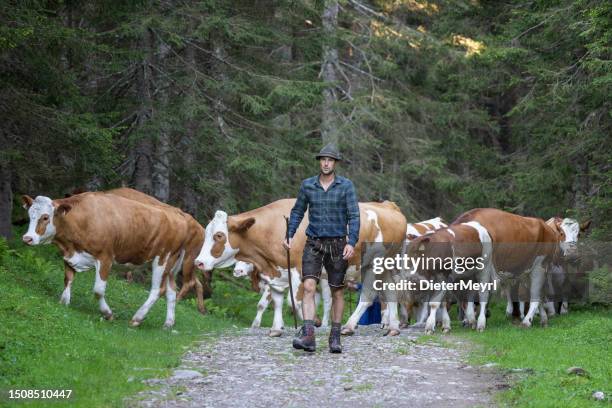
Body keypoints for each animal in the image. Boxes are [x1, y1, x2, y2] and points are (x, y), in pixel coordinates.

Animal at [21, 191, 206, 328]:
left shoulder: (105, 257)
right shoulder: (70, 256)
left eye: (46, 217)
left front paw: (108, 314)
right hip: (171, 265)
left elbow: (98, 290)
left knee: (157, 290)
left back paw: (137, 318)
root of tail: (179, 213)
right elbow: (68, 279)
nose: (27, 238)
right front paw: (64, 302)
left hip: (162, 260)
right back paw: (168, 323)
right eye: (30, 215)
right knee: (171, 291)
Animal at [195, 199, 406, 336]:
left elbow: (294, 301)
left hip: (373, 266)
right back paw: (393, 327)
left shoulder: (299, 270)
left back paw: (350, 325)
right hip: (387, 267)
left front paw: (315, 322)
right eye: (206, 232)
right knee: (391, 291)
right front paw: (276, 328)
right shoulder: (276, 272)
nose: (198, 262)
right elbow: (278, 301)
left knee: (368, 295)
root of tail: (388, 205)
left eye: (219, 235)